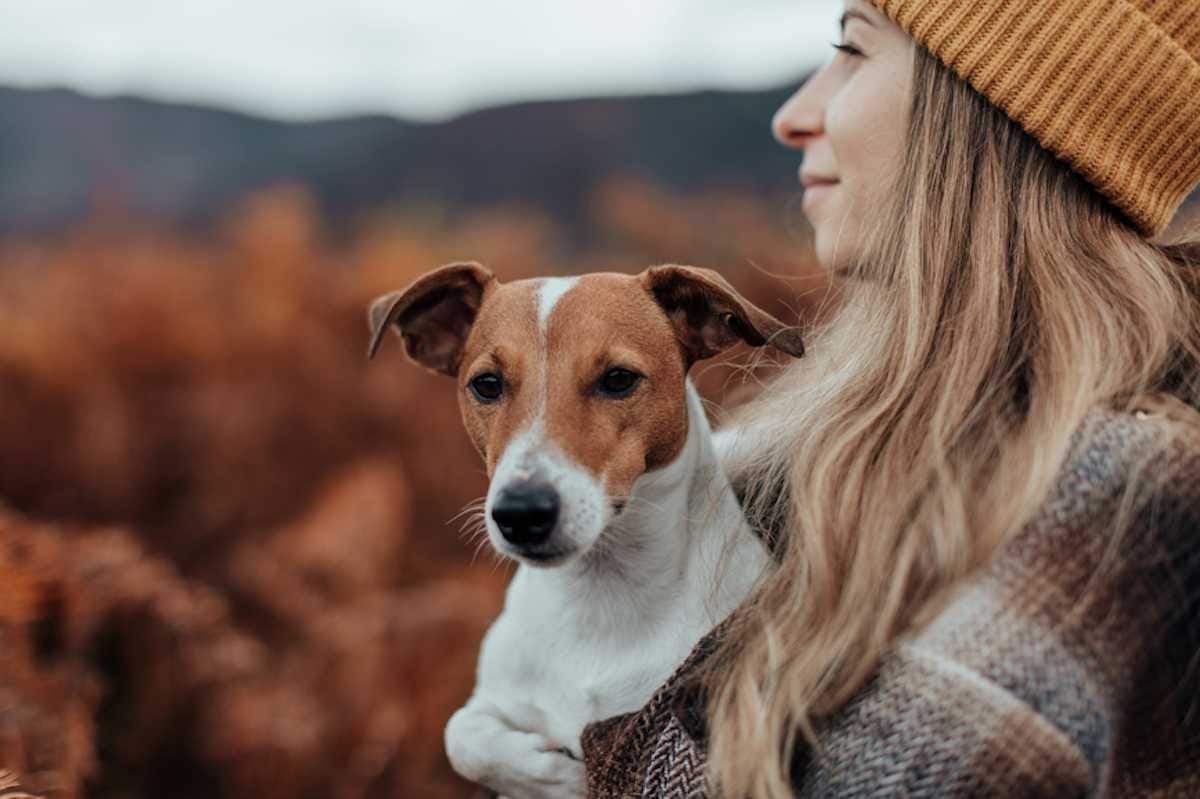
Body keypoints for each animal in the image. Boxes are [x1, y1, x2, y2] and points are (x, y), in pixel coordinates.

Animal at [364, 261, 806, 796]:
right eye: (487, 384)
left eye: (618, 379)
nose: (521, 513)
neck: (598, 595)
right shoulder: (489, 701)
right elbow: (462, 734)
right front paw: (557, 777)